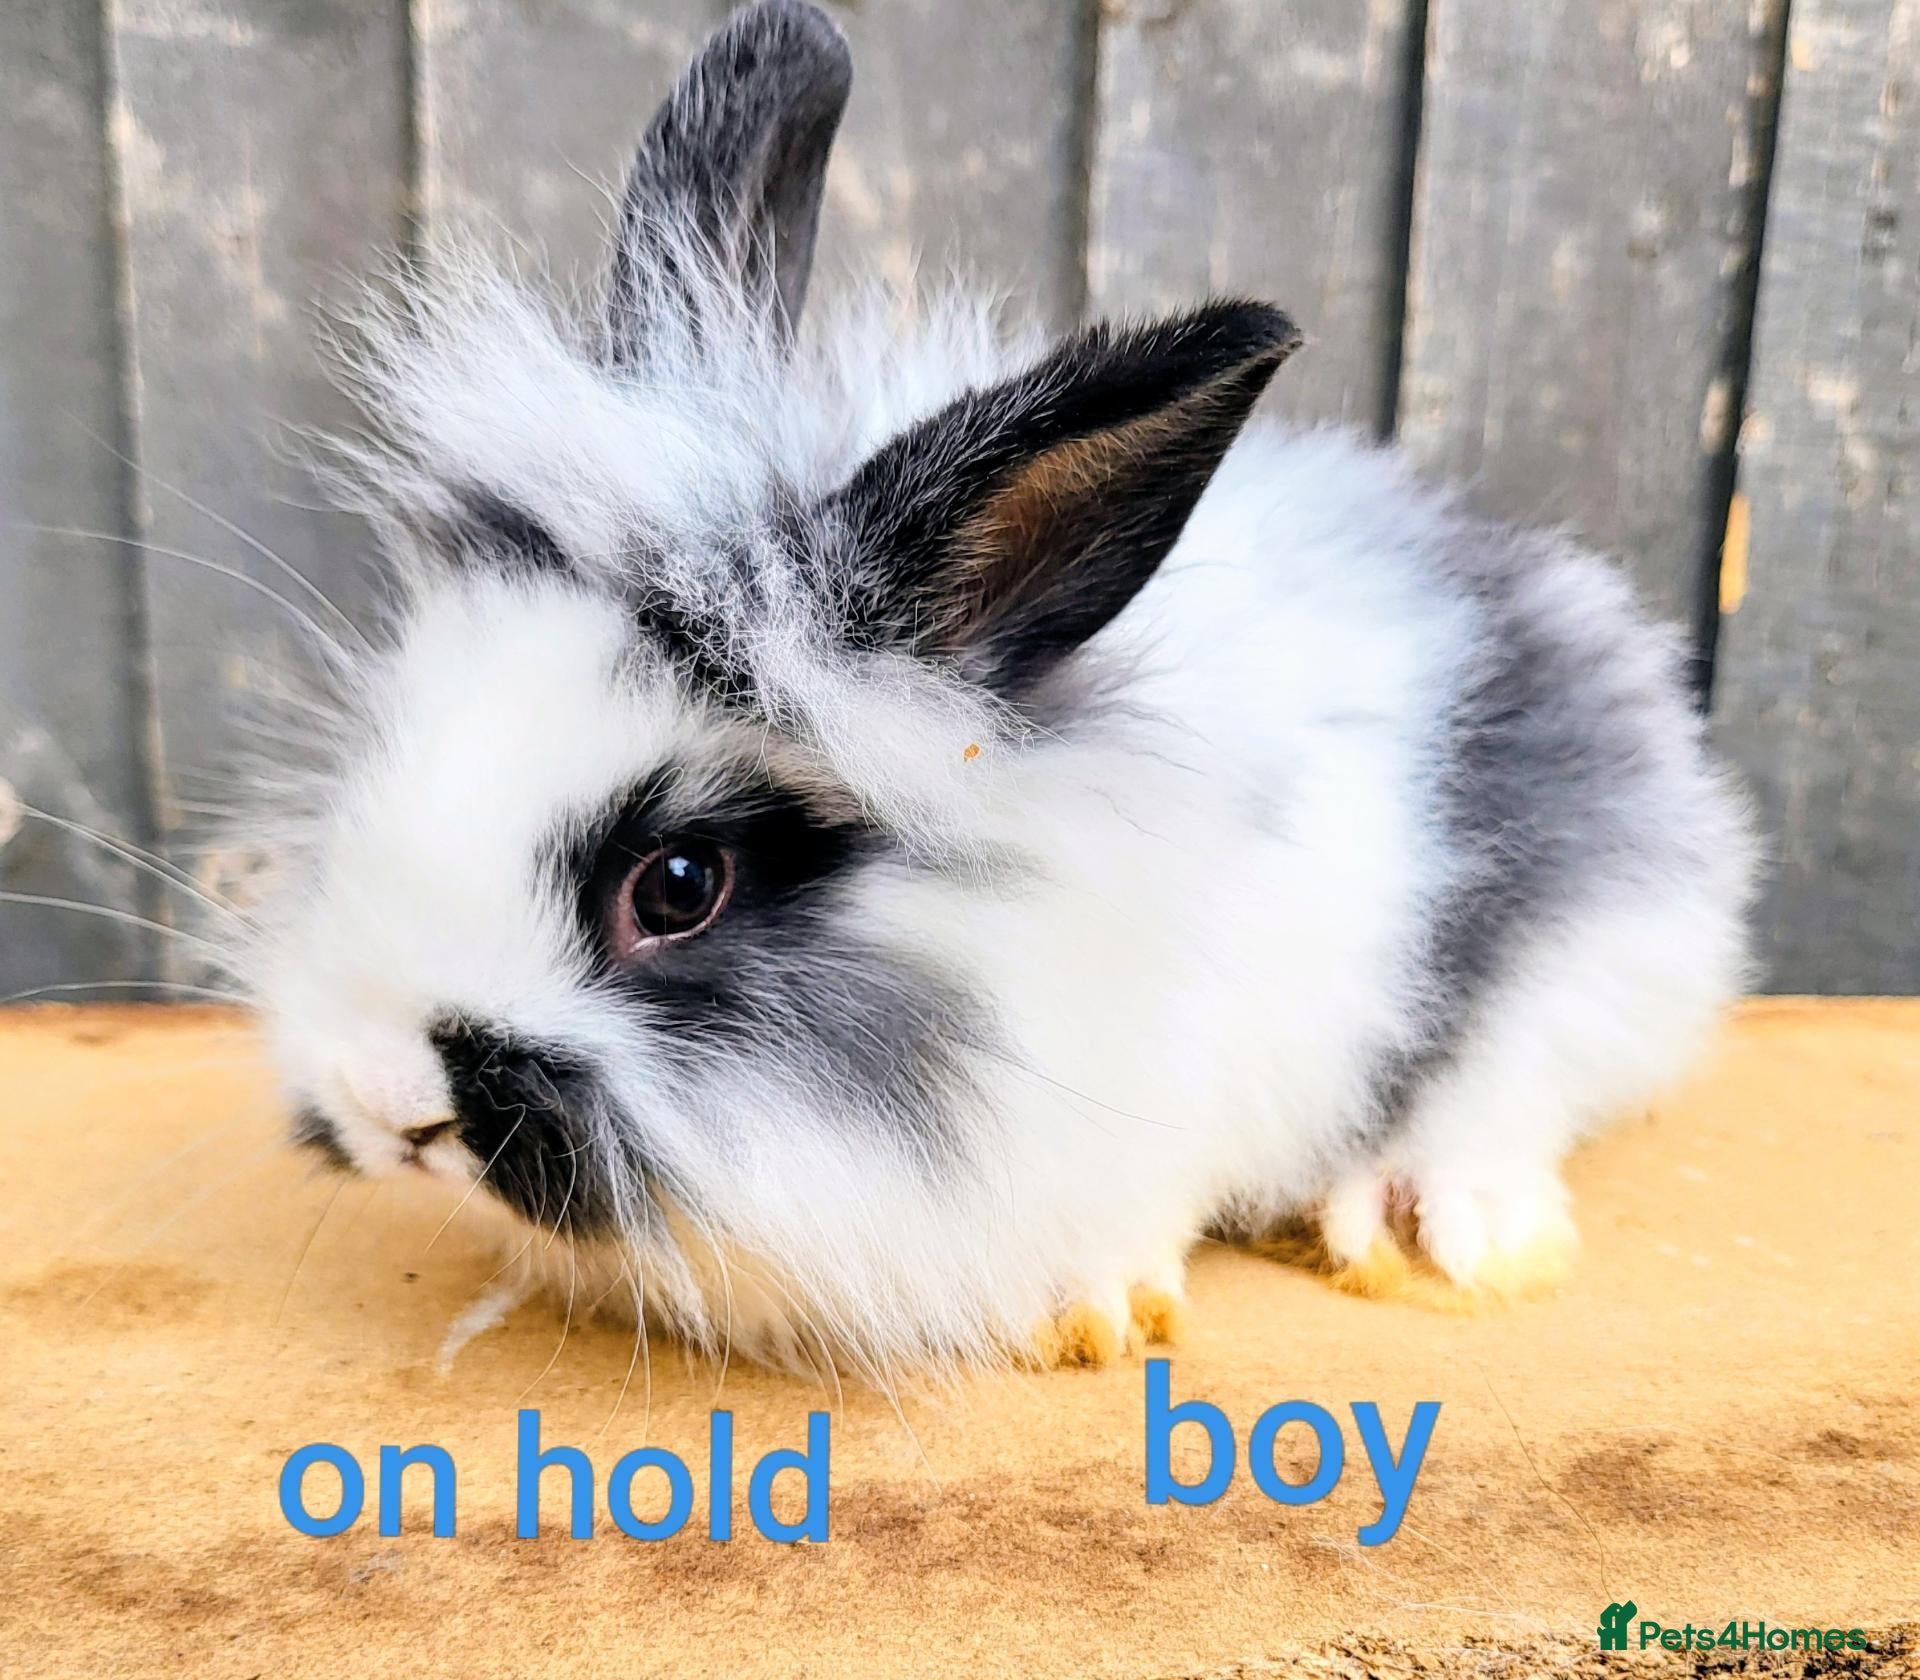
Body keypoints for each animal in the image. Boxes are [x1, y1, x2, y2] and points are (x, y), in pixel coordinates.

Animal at [235, 0, 1755, 1377]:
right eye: (396, 733)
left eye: (677, 885)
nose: (382, 1099)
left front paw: (1093, 1314)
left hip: (1594, 965)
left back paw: (1441, 1229)